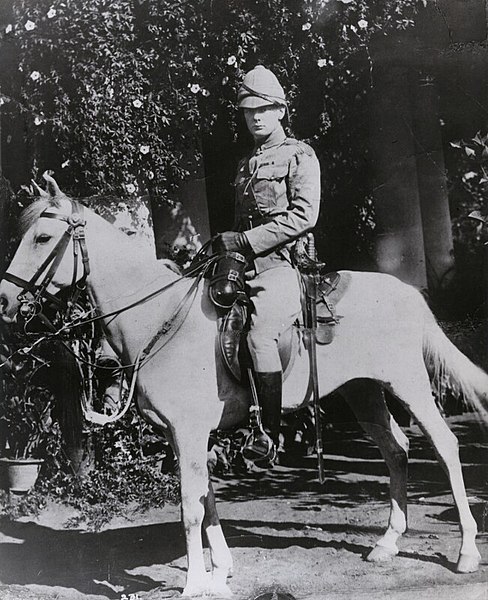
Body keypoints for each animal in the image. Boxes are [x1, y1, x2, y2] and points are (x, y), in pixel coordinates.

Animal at [0, 179, 486, 596]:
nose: (5, 300)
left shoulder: (189, 432)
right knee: (396, 449)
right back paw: (387, 543)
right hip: (363, 391)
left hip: (408, 385)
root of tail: (407, 291)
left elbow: (190, 505)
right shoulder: (183, 435)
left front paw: (195, 583)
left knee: (444, 446)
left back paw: (466, 551)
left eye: (43, 238)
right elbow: (207, 498)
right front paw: (220, 570)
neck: (161, 317)